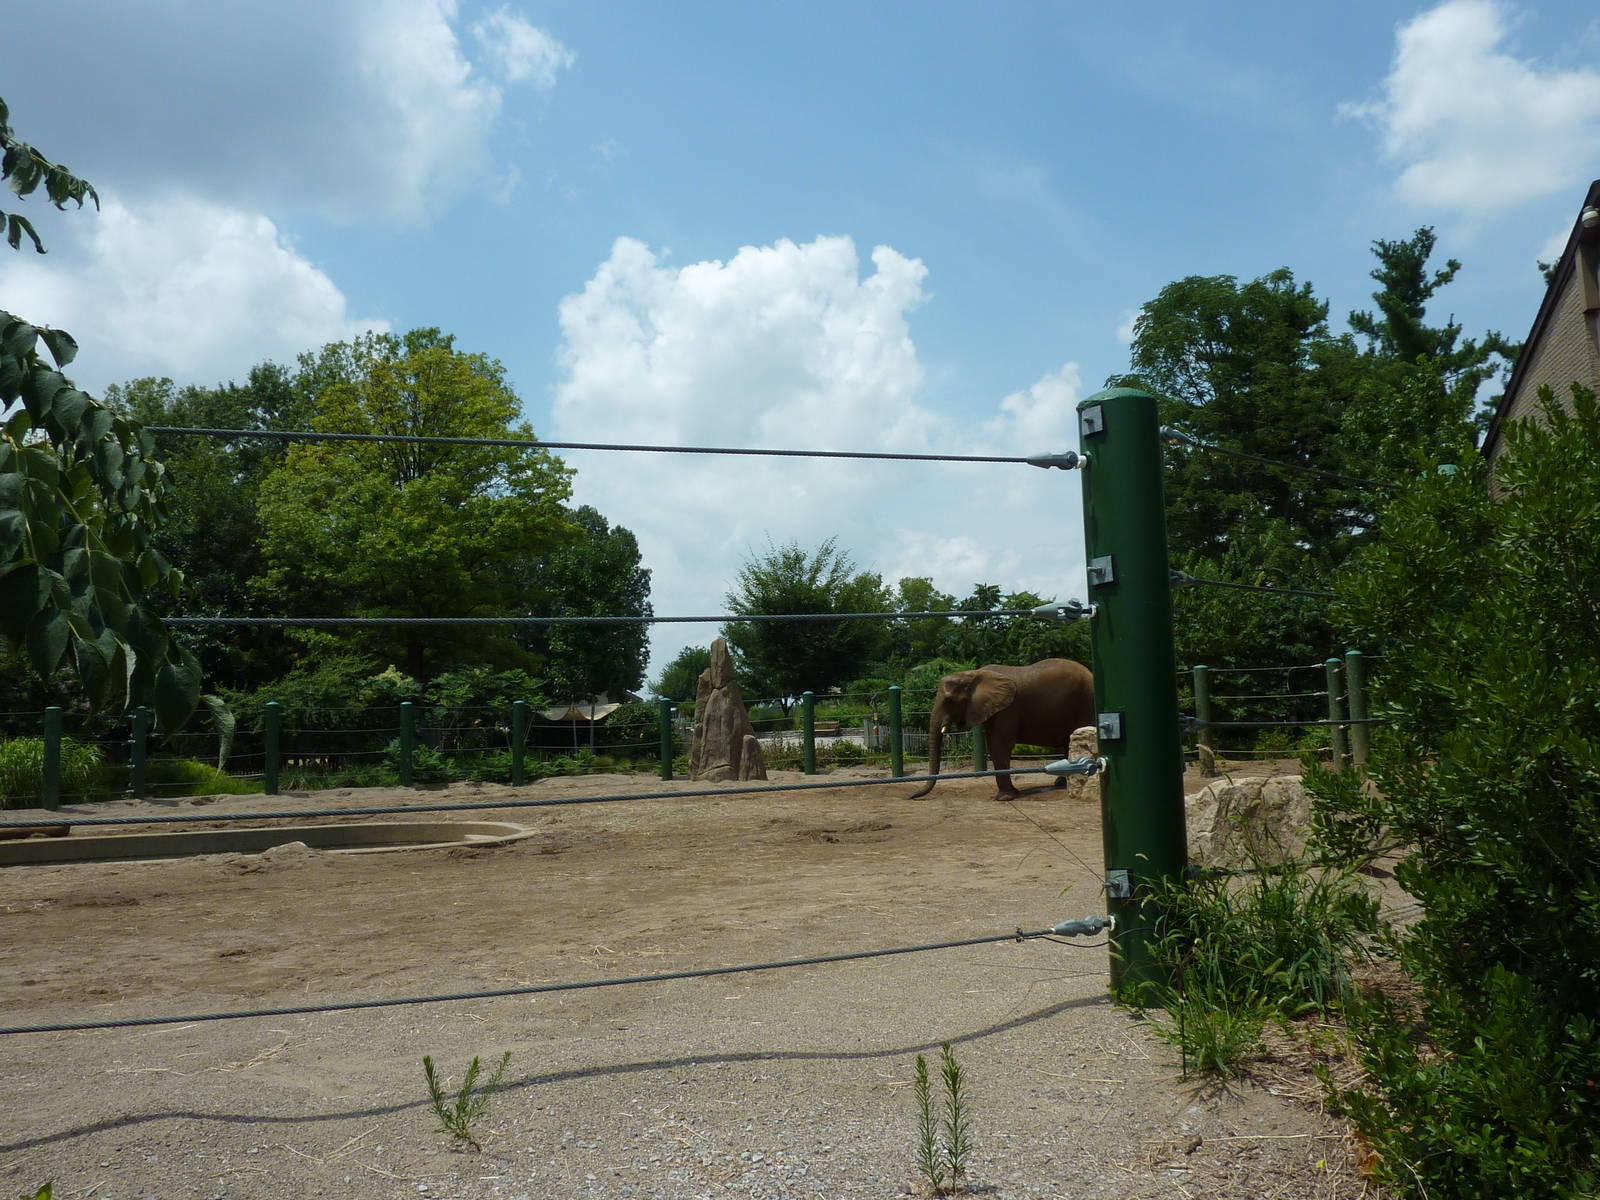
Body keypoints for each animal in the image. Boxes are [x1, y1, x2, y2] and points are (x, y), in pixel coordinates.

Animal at [908, 658, 1095, 800]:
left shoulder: (1009, 709)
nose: (911, 796)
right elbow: (992, 745)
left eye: (949, 701)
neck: (973, 674)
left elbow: (1000, 745)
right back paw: (1061, 783)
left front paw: (1005, 798)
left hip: (1085, 702)